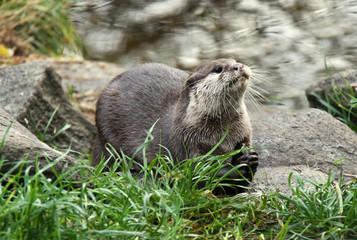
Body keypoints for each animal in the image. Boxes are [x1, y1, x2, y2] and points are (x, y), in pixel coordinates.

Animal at [92, 59, 258, 194]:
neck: (221, 135)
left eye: (235, 61)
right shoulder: (187, 144)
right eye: (218, 69)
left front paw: (250, 158)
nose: (239, 66)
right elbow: (202, 172)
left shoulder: (244, 134)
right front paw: (239, 166)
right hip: (107, 132)